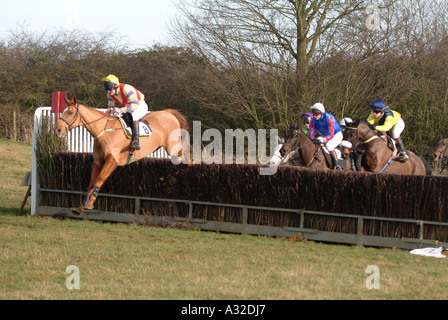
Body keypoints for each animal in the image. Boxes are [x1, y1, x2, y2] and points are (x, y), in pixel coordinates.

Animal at [55, 95, 189, 215]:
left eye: (71, 112)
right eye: (64, 112)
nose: (57, 130)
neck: (104, 132)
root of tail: (168, 113)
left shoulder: (112, 160)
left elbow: (100, 179)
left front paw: (89, 203)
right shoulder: (97, 162)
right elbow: (92, 182)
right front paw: (82, 206)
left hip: (173, 148)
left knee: (185, 151)